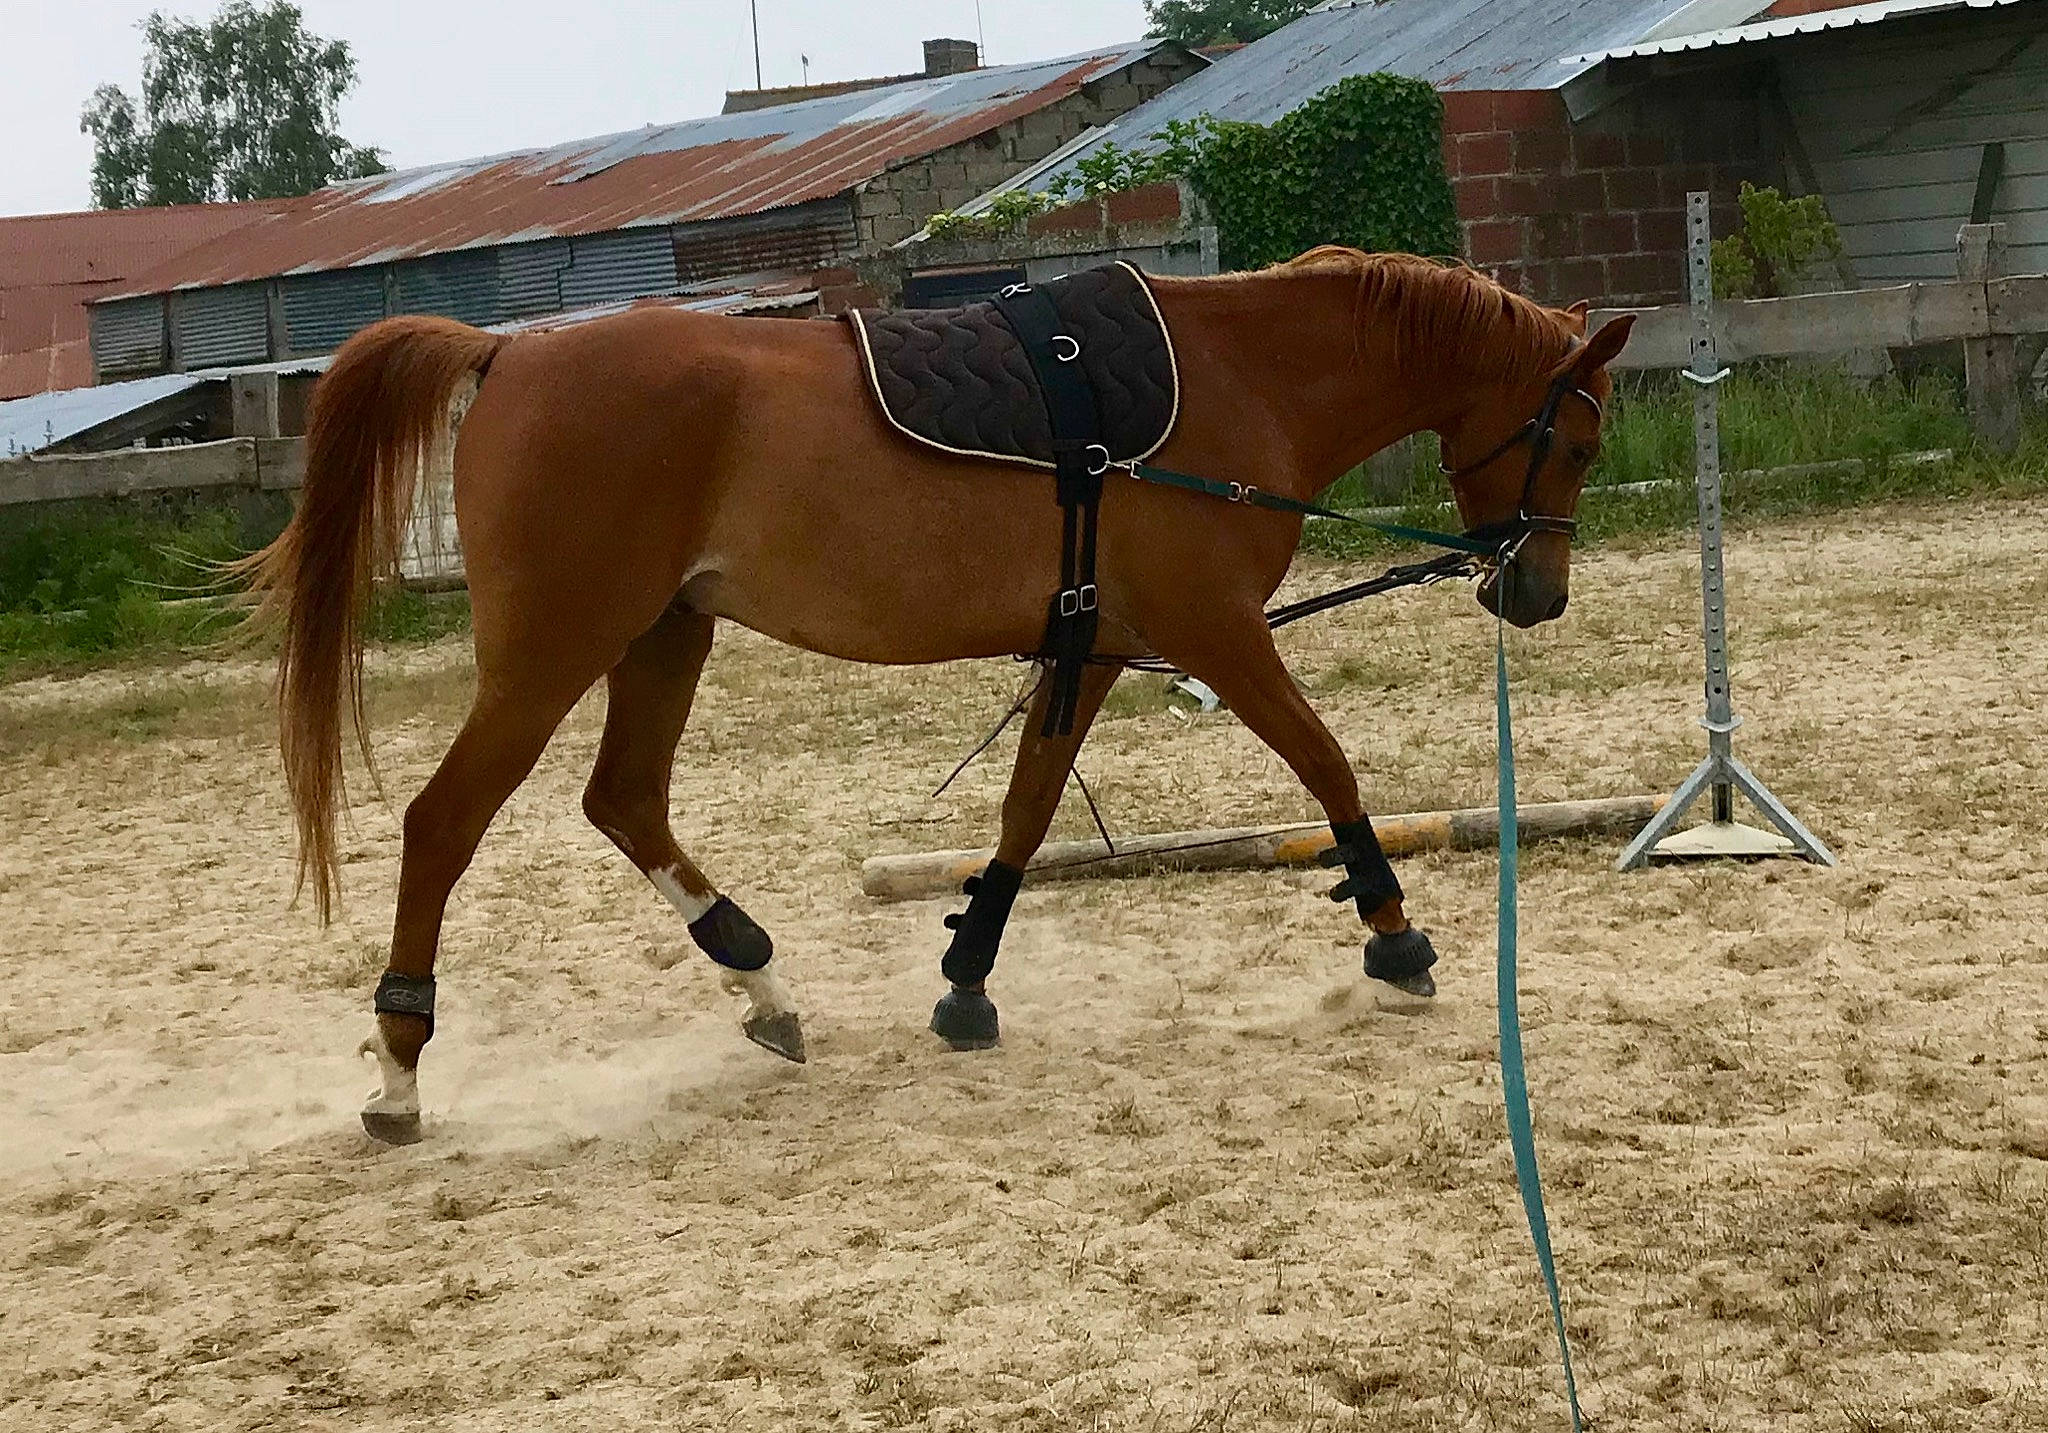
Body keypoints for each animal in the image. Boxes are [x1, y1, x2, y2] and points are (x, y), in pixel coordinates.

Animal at [238, 247, 1633, 1143]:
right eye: (1574, 436)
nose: (1535, 594)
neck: (1242, 376)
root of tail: (506, 356)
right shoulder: (1217, 633)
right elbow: (1326, 761)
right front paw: (1392, 933)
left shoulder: (1095, 648)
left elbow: (1023, 813)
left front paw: (965, 977)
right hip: (554, 647)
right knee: (443, 822)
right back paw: (400, 1070)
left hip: (660, 634)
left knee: (623, 799)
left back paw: (762, 984)